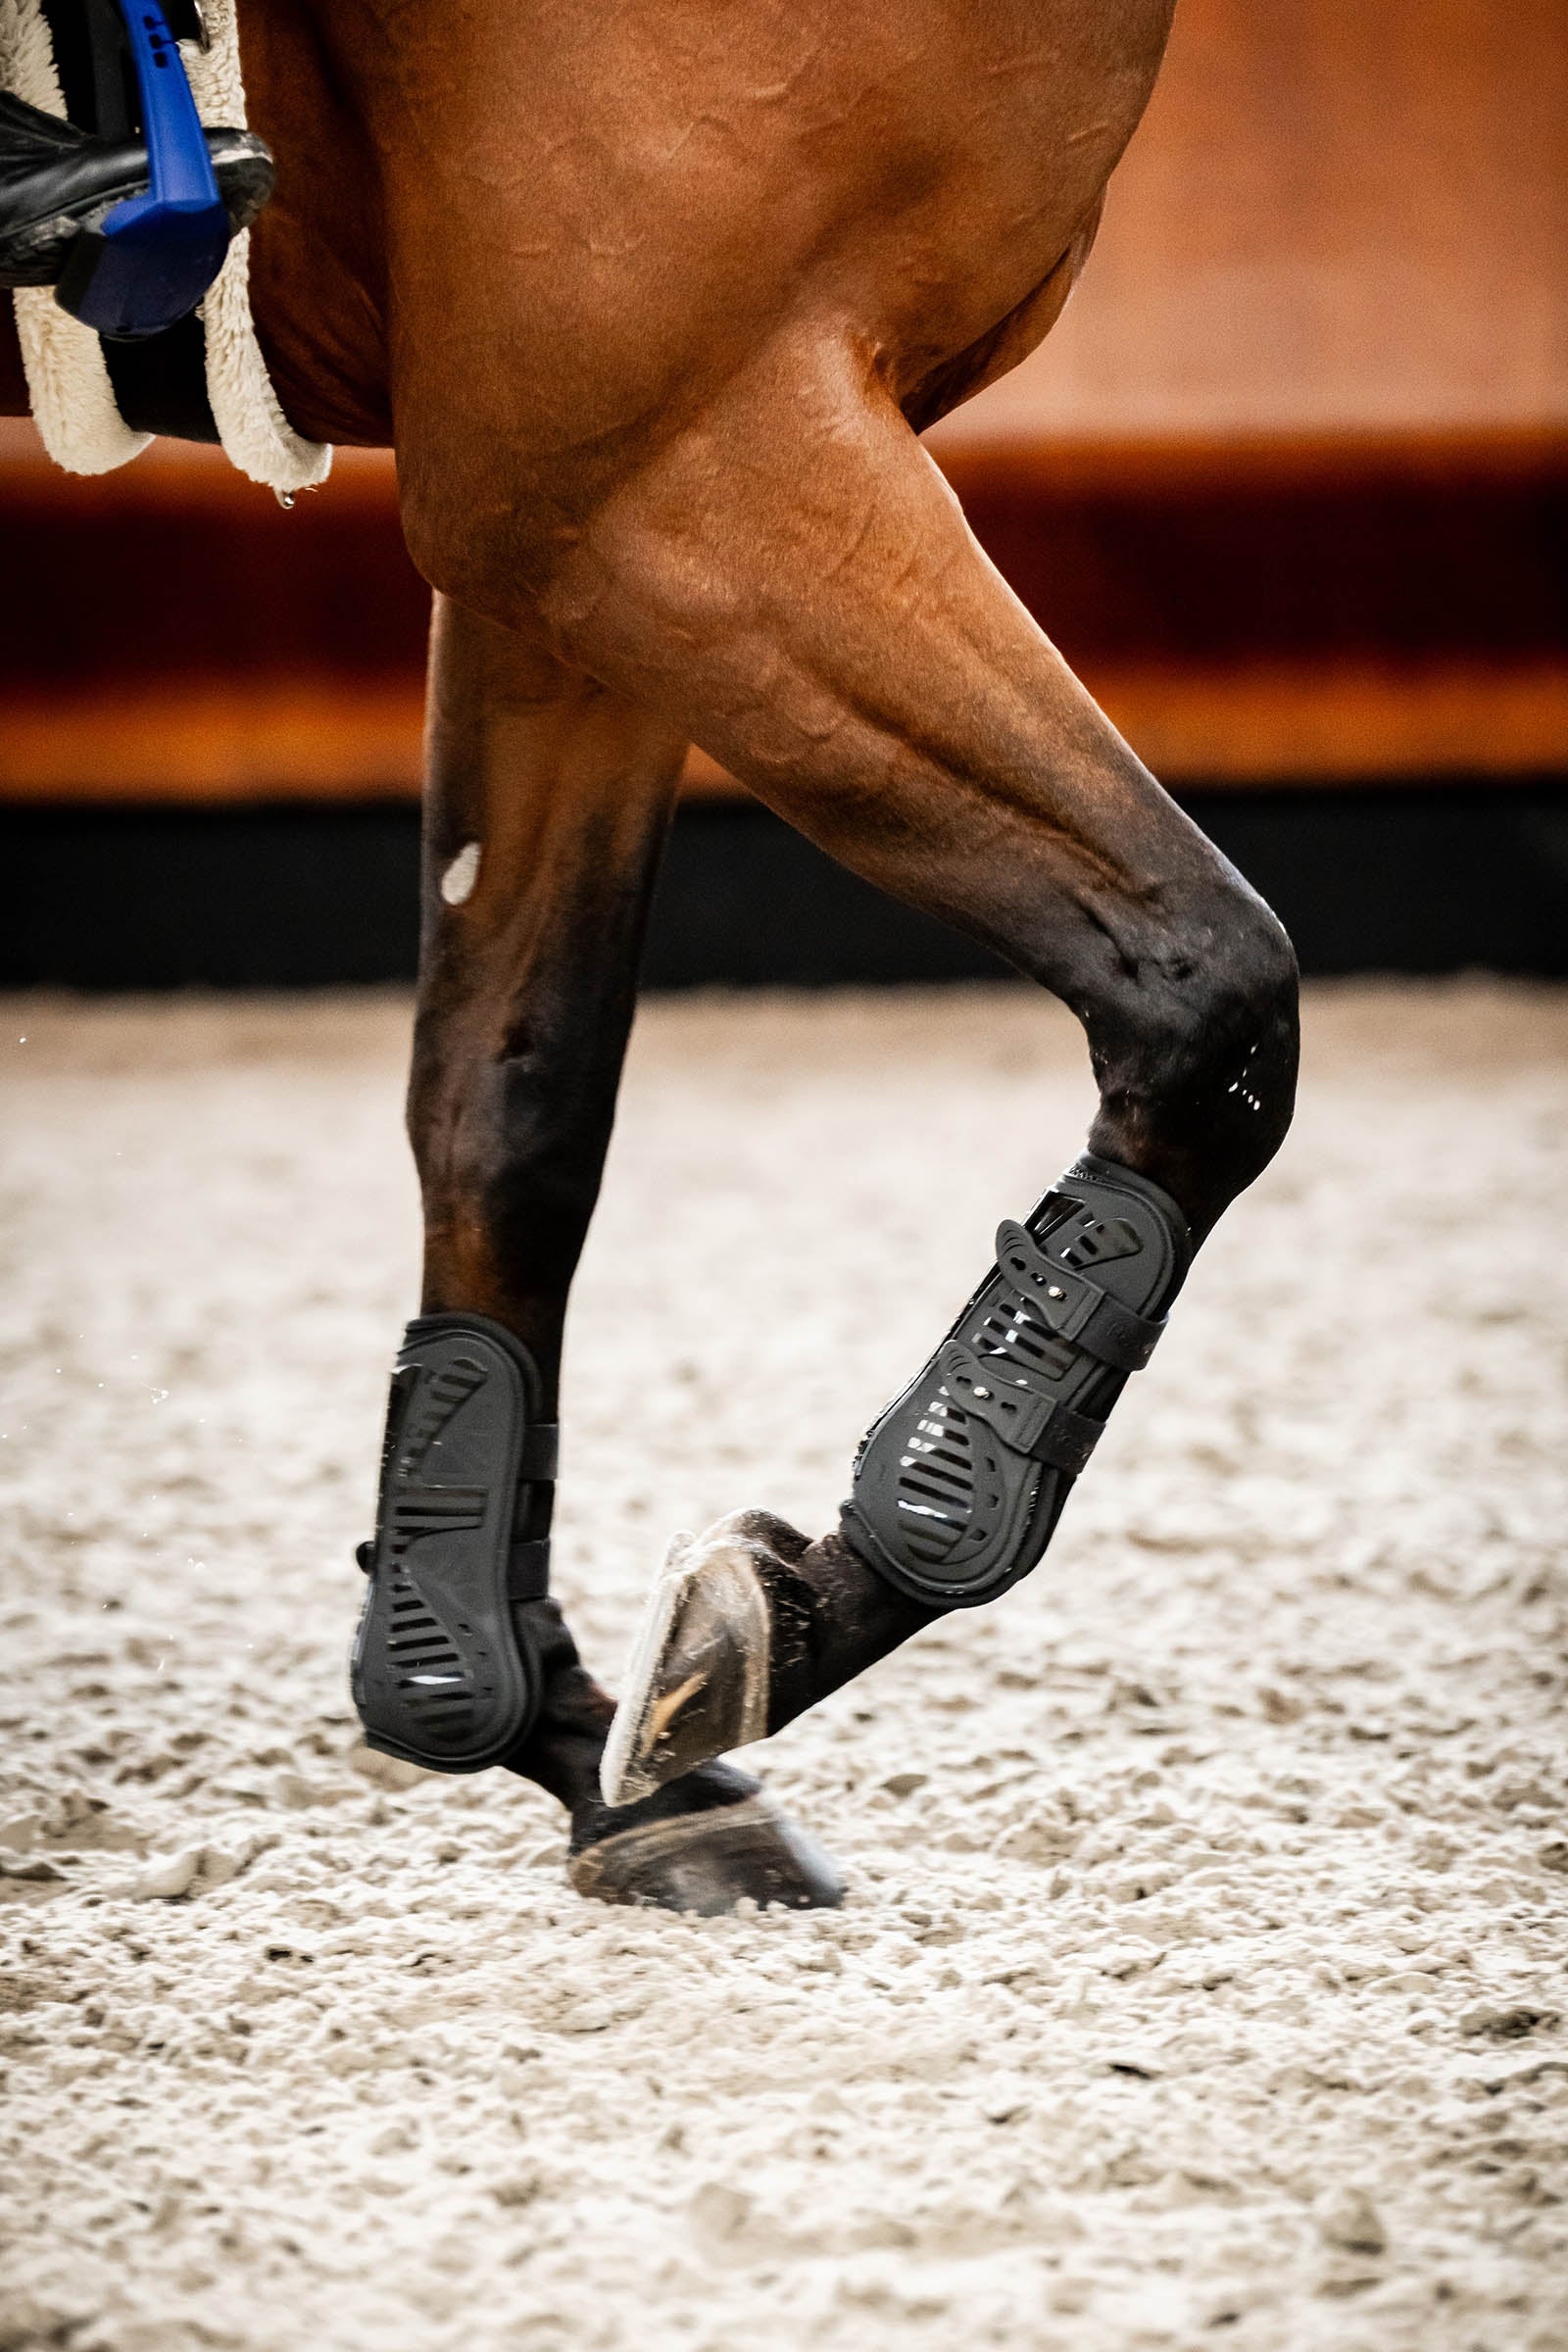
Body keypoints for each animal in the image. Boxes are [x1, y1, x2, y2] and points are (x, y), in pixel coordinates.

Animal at [3, 0, 1298, 1911]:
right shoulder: (666, 473)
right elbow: (1208, 984)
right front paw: (816, 1598)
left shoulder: (572, 540)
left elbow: (513, 1096)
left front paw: (522, 1708)